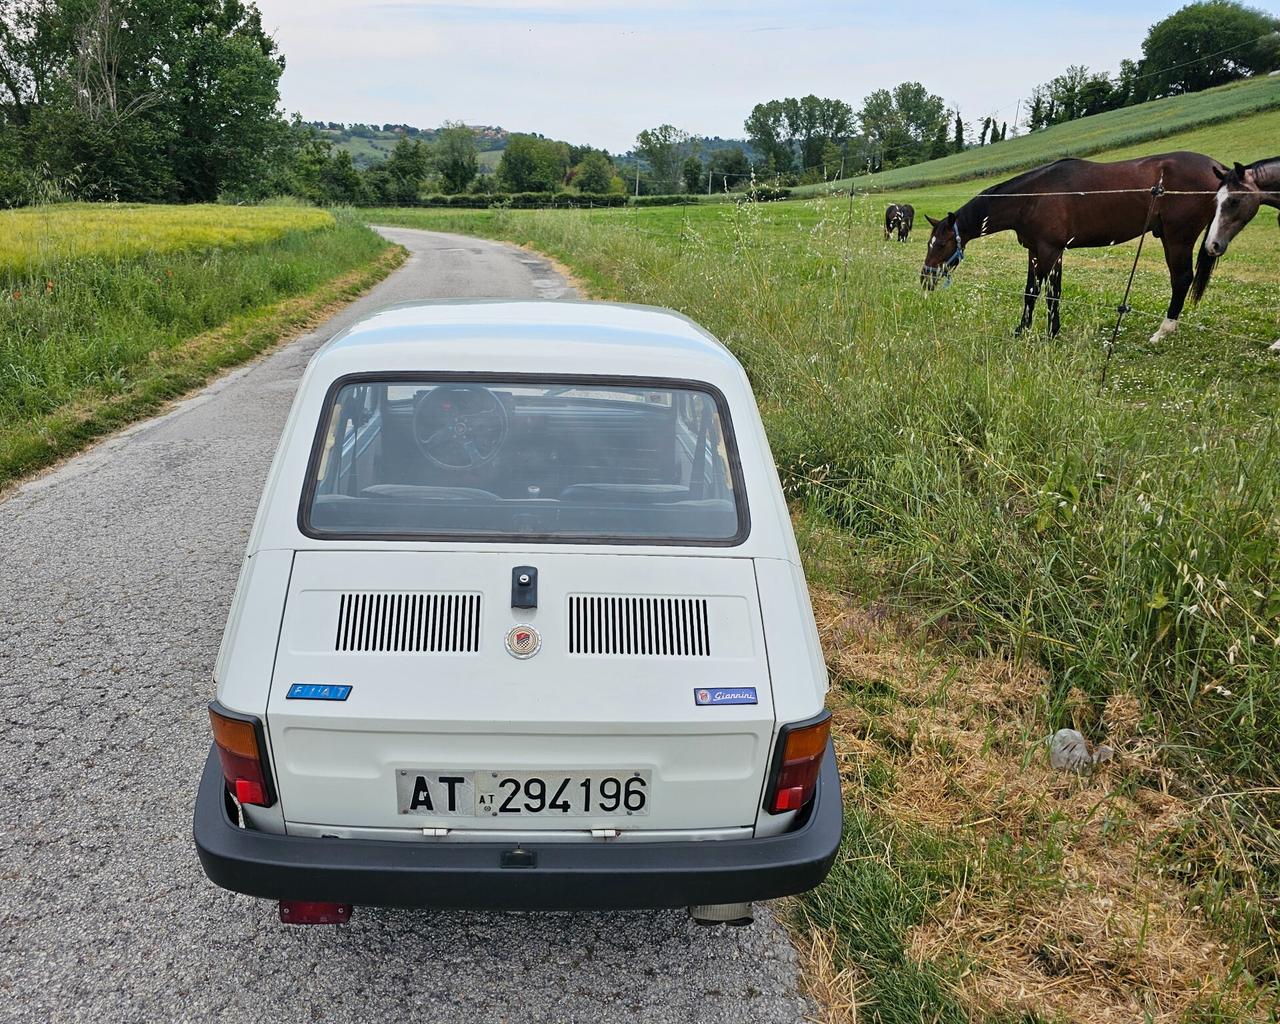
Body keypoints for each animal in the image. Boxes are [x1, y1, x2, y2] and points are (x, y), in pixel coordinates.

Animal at [916, 151, 1223, 340]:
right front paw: (1044, 331)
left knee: (1181, 279)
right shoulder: (1042, 251)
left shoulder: (1049, 251)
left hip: (1178, 237)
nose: (925, 278)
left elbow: (1038, 294)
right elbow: (1044, 293)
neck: (1033, 196)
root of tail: (1217, 168)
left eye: (941, 244)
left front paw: (1032, 332)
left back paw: (1163, 331)